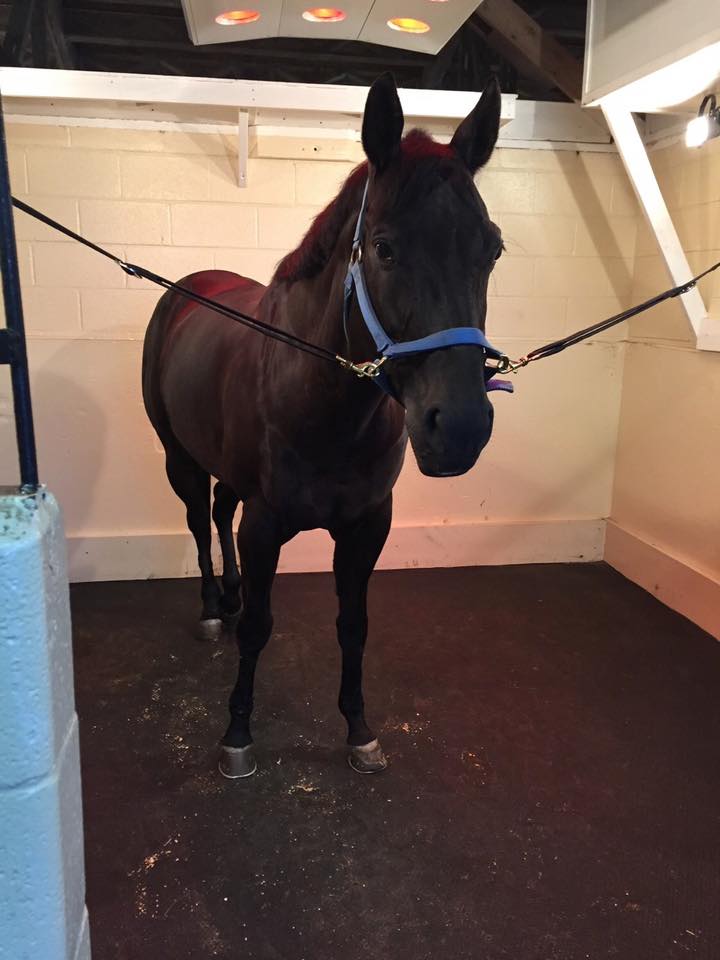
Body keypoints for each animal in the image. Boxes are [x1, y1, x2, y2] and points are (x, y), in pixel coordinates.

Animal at [142, 73, 505, 778]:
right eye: (384, 248)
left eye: (492, 250)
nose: (461, 427)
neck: (324, 405)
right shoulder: (265, 526)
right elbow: (258, 627)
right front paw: (237, 733)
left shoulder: (367, 526)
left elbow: (353, 625)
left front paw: (359, 729)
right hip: (179, 458)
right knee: (200, 520)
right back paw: (212, 606)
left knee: (219, 512)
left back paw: (229, 592)